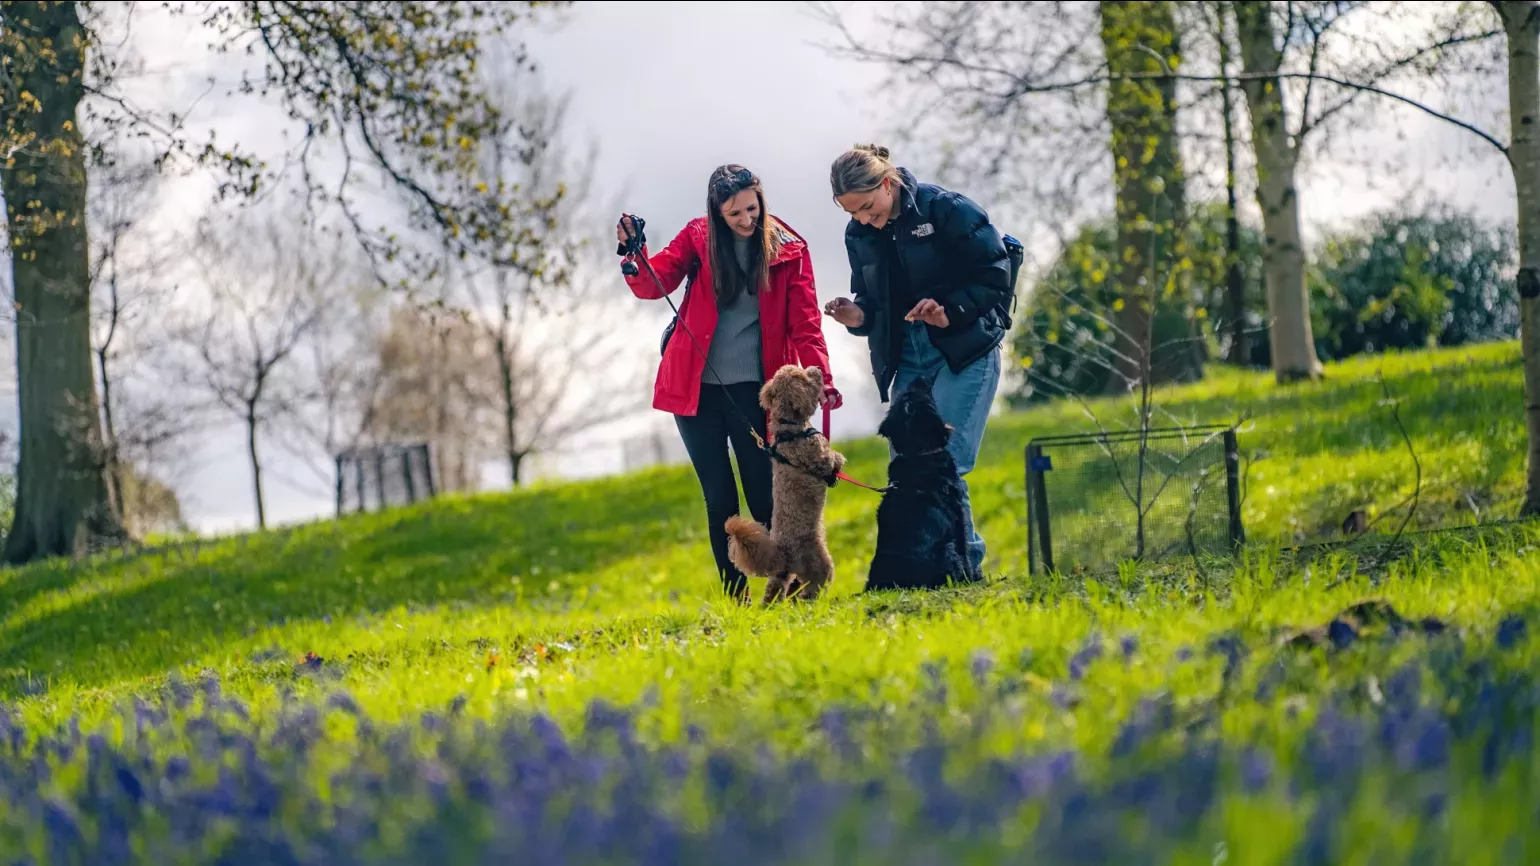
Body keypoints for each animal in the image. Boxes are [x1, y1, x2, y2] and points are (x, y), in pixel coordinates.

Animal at [726, 362, 850, 600]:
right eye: (803, 377)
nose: (816, 367)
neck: (789, 429)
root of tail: (783, 554)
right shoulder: (818, 456)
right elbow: (831, 459)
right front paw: (839, 461)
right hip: (819, 562)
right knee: (812, 588)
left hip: (781, 575)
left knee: (772, 594)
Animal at [862, 379, 979, 591]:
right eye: (924, 394)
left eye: (905, 395)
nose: (920, 378)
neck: (918, 452)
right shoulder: (958, 515)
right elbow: (965, 550)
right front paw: (972, 578)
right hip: (947, 550)